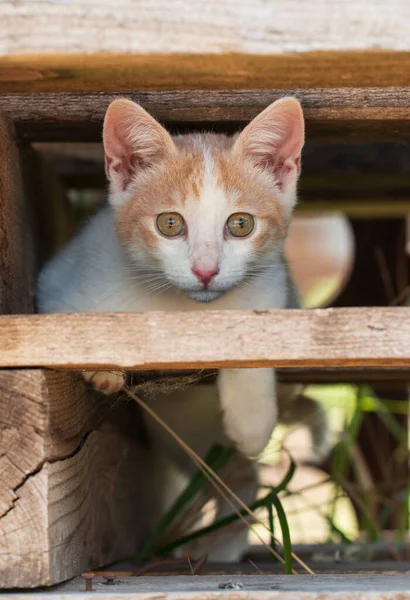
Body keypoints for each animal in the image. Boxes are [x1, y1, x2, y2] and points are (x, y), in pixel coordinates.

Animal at [37, 96, 304, 460]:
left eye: (241, 224)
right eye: (170, 224)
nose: (205, 271)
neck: (185, 310)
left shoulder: (274, 284)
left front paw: (252, 422)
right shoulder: (54, 284)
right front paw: (103, 364)